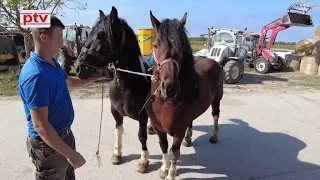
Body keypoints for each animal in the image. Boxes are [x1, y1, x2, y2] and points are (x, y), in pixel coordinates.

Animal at [76, 6, 154, 173]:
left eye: (101, 35)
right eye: (89, 34)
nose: (78, 68)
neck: (125, 86)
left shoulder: (142, 117)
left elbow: (142, 136)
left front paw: (143, 161)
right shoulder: (115, 112)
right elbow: (118, 131)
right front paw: (117, 154)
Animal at [144, 11, 222, 180]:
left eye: (180, 48)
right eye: (155, 45)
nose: (169, 87)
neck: (164, 103)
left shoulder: (178, 131)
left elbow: (174, 152)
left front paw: (171, 174)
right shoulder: (158, 128)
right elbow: (164, 146)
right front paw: (163, 169)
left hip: (217, 99)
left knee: (215, 115)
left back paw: (214, 137)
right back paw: (188, 139)